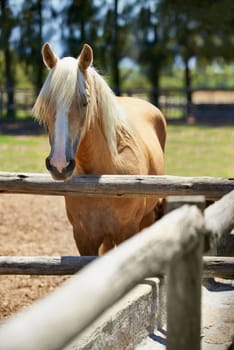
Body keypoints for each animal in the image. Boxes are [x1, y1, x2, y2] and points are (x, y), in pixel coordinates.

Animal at [33, 43, 167, 256]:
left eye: (85, 102)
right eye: (46, 103)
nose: (59, 164)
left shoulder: (127, 231)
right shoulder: (83, 237)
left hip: (146, 219)